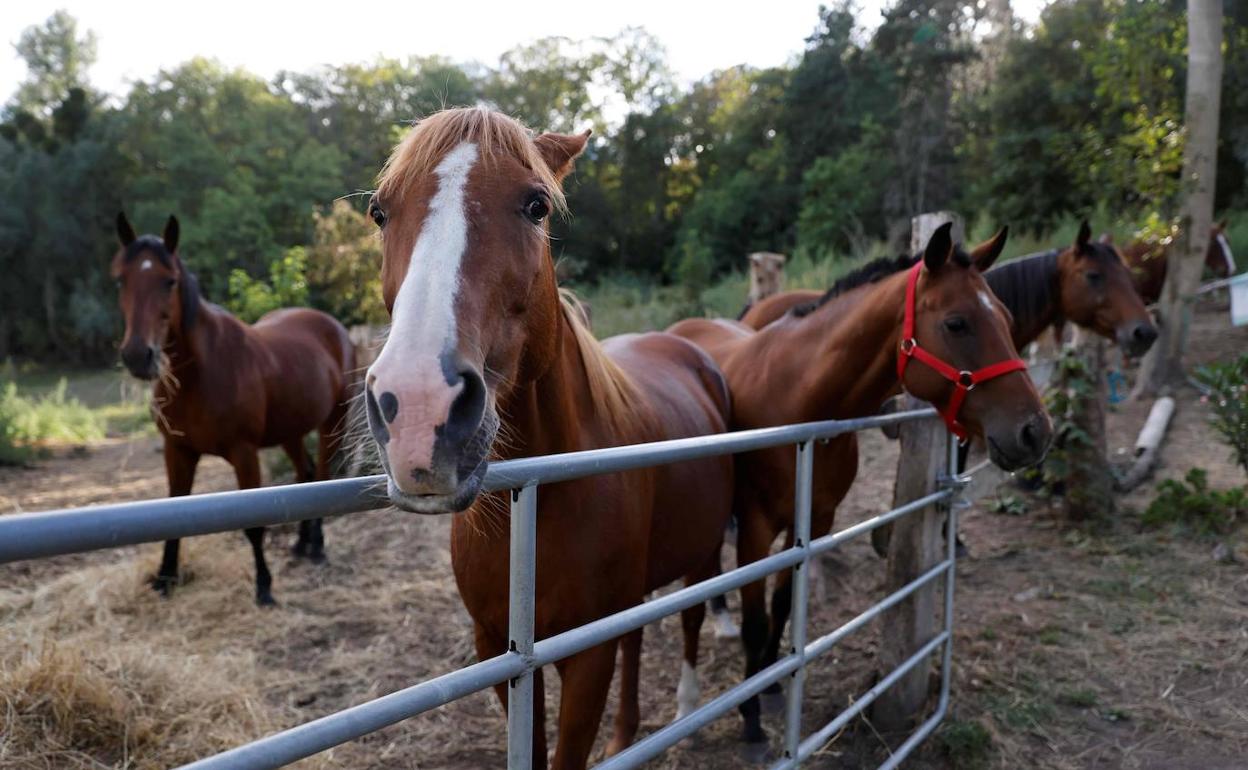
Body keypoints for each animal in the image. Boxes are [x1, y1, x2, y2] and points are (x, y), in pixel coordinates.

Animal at [111, 213, 356, 604]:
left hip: (333, 423)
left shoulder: (244, 454)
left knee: (321, 476)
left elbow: (253, 525)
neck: (198, 374)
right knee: (304, 475)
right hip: (290, 432)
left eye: (169, 281)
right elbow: (172, 511)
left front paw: (264, 586)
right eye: (121, 279)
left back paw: (316, 546)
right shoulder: (177, 450)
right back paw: (302, 544)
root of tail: (333, 326)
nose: (138, 355)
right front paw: (165, 578)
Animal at [359, 107, 728, 768]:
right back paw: (626, 735)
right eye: (379, 211)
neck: (539, 499)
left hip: (703, 550)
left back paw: (687, 710)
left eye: (535, 205)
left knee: (689, 618)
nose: (419, 408)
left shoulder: (586, 658)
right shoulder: (499, 651)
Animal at [668, 223, 1048, 758]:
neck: (798, 397)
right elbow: (757, 618)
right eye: (957, 324)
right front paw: (750, 720)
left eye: (1008, 319)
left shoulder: (813, 521)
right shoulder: (757, 528)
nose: (1035, 432)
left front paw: (771, 684)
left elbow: (783, 607)